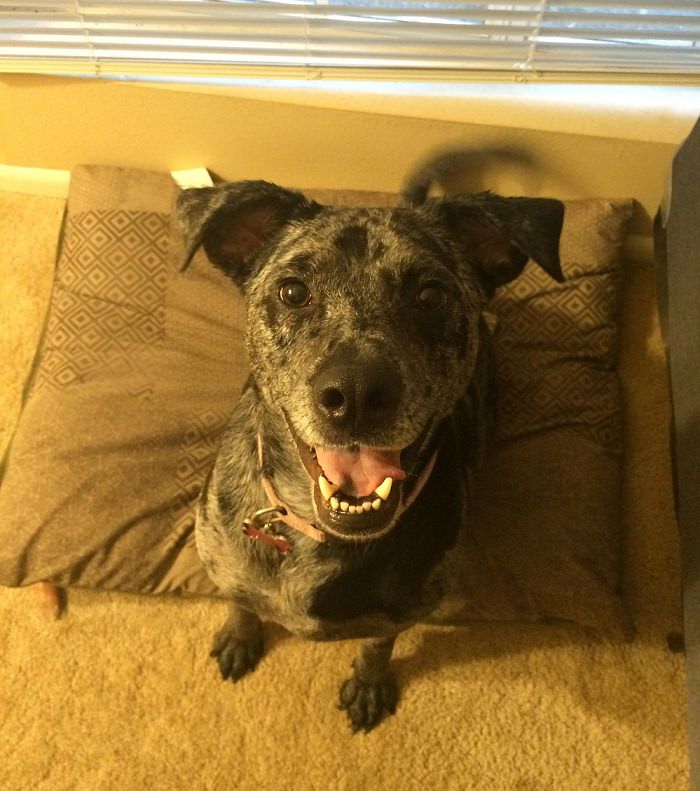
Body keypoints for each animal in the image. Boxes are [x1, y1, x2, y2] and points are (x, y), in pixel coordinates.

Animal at [178, 152, 568, 732]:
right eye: (293, 291)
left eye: (431, 295)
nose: (357, 393)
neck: (318, 534)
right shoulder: (226, 562)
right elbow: (242, 602)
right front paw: (238, 635)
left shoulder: (402, 611)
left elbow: (377, 645)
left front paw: (368, 683)